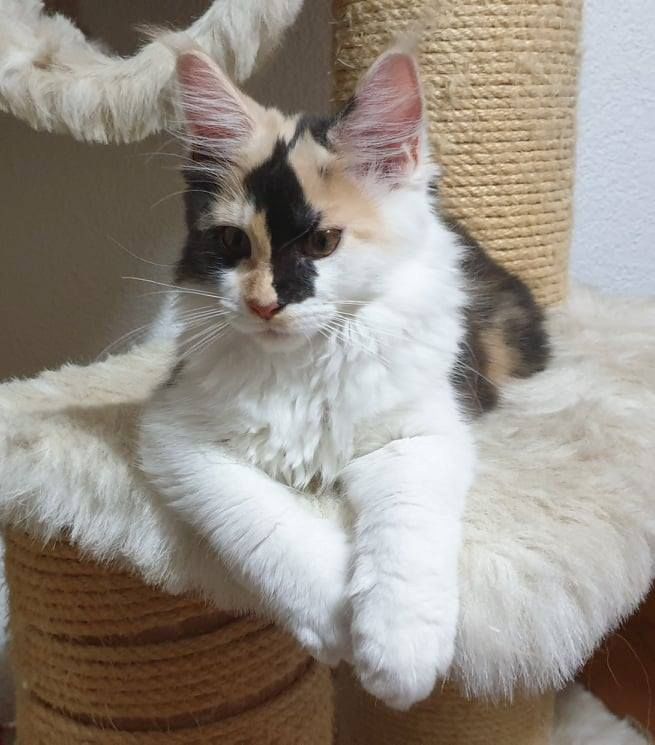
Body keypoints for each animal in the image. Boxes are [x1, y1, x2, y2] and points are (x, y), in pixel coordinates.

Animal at [138, 47, 549, 710]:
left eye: (323, 242)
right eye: (230, 241)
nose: (263, 305)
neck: (303, 362)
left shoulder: (423, 433)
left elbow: (407, 532)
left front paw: (398, 656)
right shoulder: (172, 430)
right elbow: (262, 524)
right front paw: (334, 622)